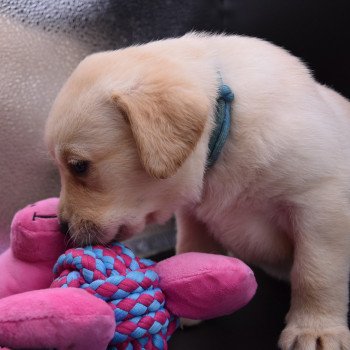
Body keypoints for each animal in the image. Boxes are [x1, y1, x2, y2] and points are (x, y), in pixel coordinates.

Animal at [45, 33, 350, 350]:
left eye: (79, 166)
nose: (61, 227)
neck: (225, 130)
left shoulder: (319, 204)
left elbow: (315, 272)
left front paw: (315, 329)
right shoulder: (193, 215)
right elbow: (193, 250)